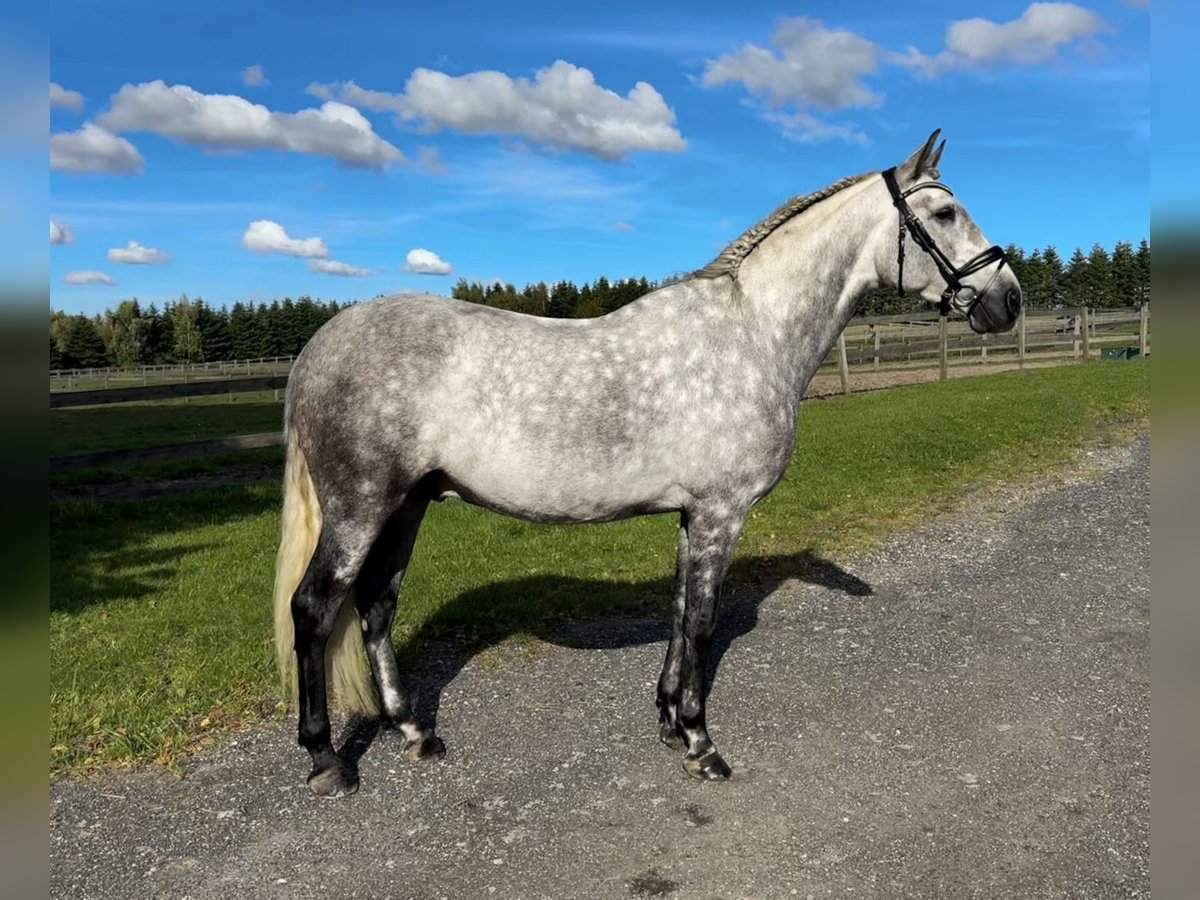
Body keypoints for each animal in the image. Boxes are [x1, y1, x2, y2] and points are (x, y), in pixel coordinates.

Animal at [274, 128, 1022, 796]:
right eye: (945, 214)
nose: (1008, 299)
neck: (753, 333)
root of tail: (319, 346)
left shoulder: (694, 515)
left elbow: (680, 611)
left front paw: (667, 722)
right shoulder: (722, 512)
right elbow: (702, 620)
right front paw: (700, 743)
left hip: (406, 505)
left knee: (376, 607)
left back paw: (414, 732)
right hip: (361, 508)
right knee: (313, 608)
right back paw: (327, 762)